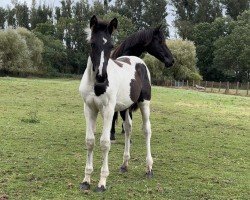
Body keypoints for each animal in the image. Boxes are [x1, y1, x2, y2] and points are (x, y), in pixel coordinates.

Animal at [79, 14, 153, 191]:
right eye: (92, 43)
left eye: (111, 45)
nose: (101, 77)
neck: (95, 86)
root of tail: (138, 60)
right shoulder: (89, 108)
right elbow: (90, 141)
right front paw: (86, 180)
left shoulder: (108, 110)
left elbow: (105, 143)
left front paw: (102, 182)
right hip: (125, 107)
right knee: (128, 129)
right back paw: (125, 164)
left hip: (144, 102)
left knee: (147, 130)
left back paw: (149, 168)